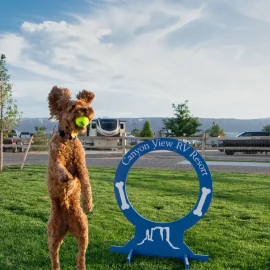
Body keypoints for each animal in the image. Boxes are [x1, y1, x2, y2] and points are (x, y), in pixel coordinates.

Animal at [47, 86, 95, 270]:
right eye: (73, 106)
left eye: (83, 103)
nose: (86, 110)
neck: (68, 139)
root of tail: (67, 224)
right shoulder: (55, 160)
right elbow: (59, 168)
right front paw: (66, 177)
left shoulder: (81, 167)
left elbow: (86, 183)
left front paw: (88, 203)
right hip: (53, 234)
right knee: (55, 258)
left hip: (82, 230)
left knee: (80, 255)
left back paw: (81, 265)